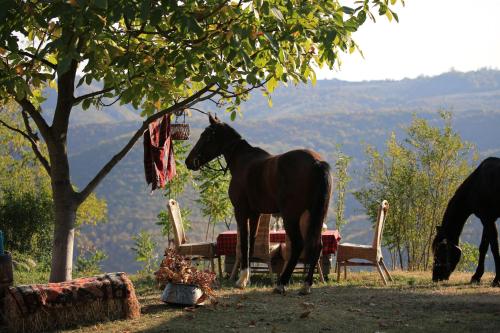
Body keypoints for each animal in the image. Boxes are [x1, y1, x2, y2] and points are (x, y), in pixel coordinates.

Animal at [185, 114, 332, 294]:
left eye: (206, 136)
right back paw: (306, 285)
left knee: (298, 245)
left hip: (291, 216)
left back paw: (282, 283)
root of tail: (316, 163)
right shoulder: (256, 214)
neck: (243, 161)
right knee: (317, 246)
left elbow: (244, 242)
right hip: (315, 214)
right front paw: (246, 278)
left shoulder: (241, 211)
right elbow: (252, 242)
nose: (189, 161)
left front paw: (241, 280)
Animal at [432, 156, 500, 286]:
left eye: (440, 252)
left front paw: (497, 280)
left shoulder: (487, 219)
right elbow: (483, 247)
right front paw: (476, 276)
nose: (435, 277)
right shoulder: (488, 219)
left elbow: (494, 247)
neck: (477, 183)